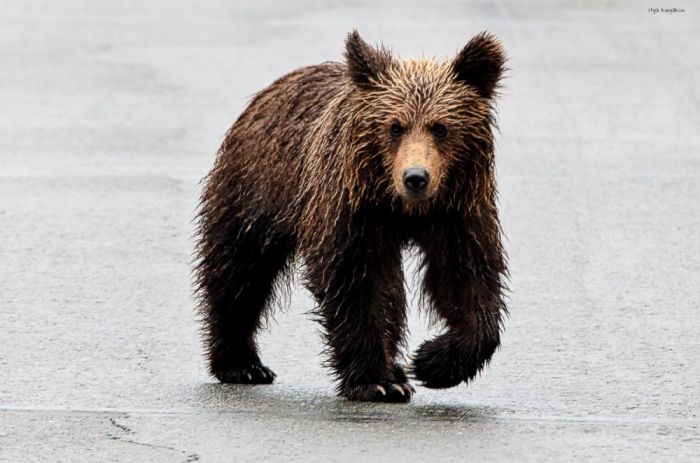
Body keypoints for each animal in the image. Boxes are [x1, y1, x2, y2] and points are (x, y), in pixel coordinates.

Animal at [194, 31, 506, 402]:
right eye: (395, 127)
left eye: (441, 127)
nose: (415, 177)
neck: (403, 208)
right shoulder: (350, 209)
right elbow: (352, 282)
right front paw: (376, 381)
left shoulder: (457, 212)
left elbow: (464, 278)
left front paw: (432, 362)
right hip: (257, 189)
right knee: (239, 270)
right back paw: (242, 364)